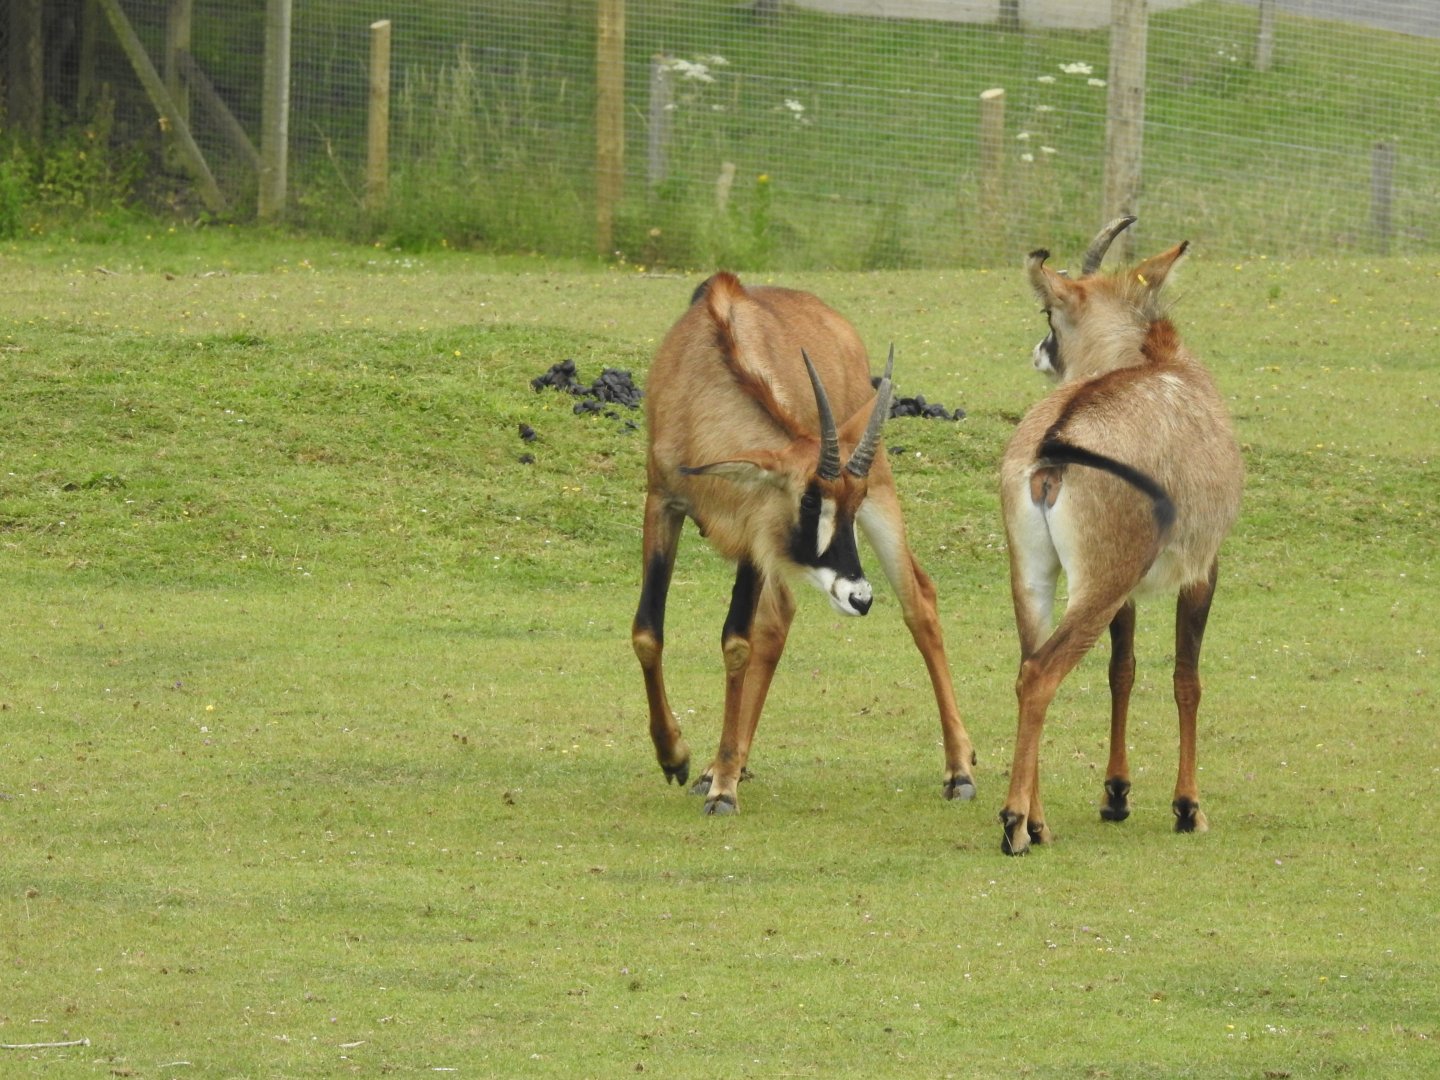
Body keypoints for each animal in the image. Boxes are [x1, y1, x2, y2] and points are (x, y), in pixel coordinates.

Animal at [632, 271, 977, 815]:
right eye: (810, 501)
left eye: (851, 504)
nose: (860, 597)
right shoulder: (663, 503)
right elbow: (648, 632)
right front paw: (676, 757)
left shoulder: (755, 529)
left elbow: (737, 641)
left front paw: (722, 786)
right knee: (780, 617)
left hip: (881, 496)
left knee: (917, 600)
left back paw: (959, 771)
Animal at [997, 218, 1243, 855]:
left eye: (1050, 315)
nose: (1040, 351)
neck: (1158, 362)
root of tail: (1056, 440)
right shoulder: (1203, 568)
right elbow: (1186, 678)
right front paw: (1187, 807)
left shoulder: (1129, 593)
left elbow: (1123, 670)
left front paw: (1116, 794)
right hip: (1099, 586)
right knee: (1042, 673)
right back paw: (1014, 824)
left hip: (1040, 579)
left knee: (1027, 664)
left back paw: (1038, 821)